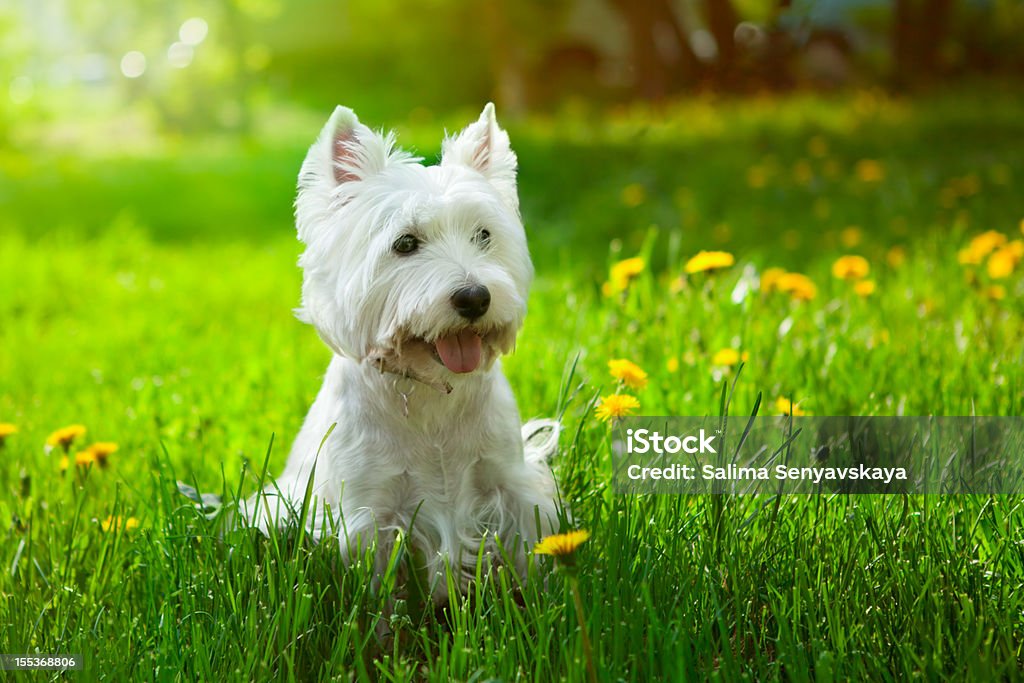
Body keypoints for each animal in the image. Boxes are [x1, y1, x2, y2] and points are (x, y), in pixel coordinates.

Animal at [238, 101, 561, 598]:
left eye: (484, 235)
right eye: (405, 243)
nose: (475, 298)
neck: (429, 390)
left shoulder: (511, 485)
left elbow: (528, 554)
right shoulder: (369, 512)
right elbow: (378, 596)